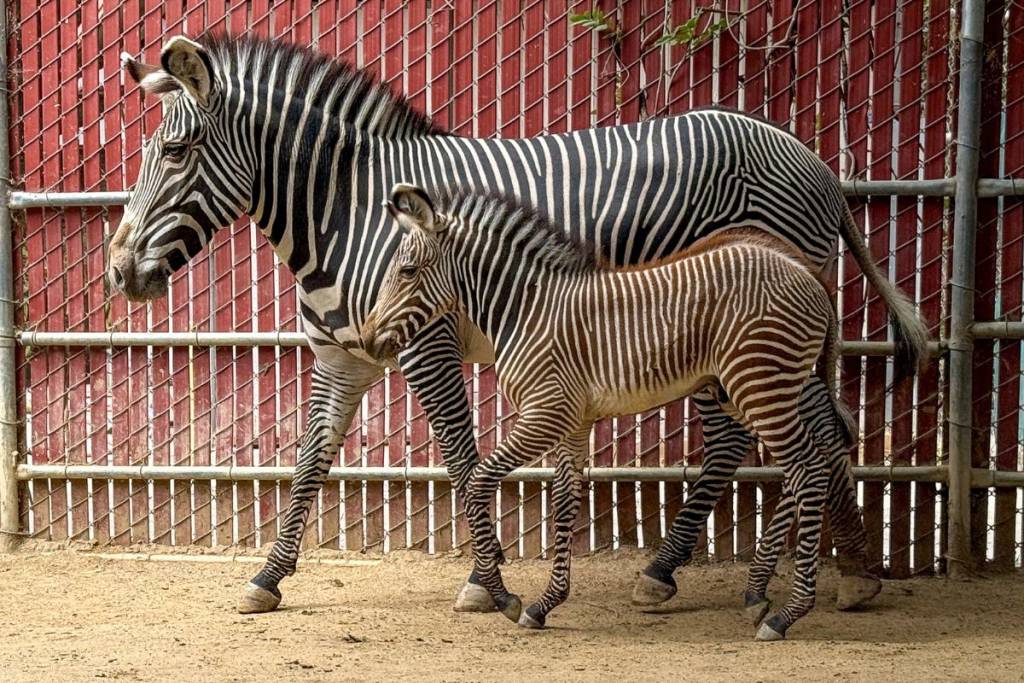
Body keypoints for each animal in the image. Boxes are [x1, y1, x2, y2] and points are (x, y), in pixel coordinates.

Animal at [359, 183, 860, 640]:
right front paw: (545, 604)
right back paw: (759, 596)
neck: (527, 308)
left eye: (406, 271)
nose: (366, 341)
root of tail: (810, 275)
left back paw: (787, 614)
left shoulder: (545, 413)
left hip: (760, 385)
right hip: (763, 389)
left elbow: (479, 483)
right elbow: (564, 502)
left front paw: (503, 597)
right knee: (807, 465)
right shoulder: (572, 422)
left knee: (808, 469)